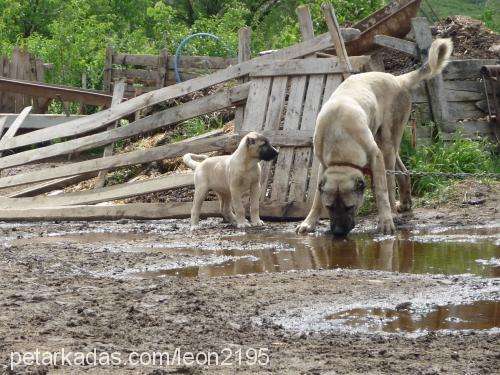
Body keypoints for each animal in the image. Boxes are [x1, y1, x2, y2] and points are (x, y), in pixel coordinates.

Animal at [296, 39, 454, 238]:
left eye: (350, 207)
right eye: (329, 207)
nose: (338, 232)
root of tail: (397, 79)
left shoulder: (375, 156)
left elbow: (381, 191)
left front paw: (385, 221)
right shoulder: (323, 165)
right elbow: (316, 198)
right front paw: (309, 222)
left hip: (386, 145)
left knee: (390, 183)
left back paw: (392, 213)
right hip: (387, 144)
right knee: (403, 172)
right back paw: (405, 203)